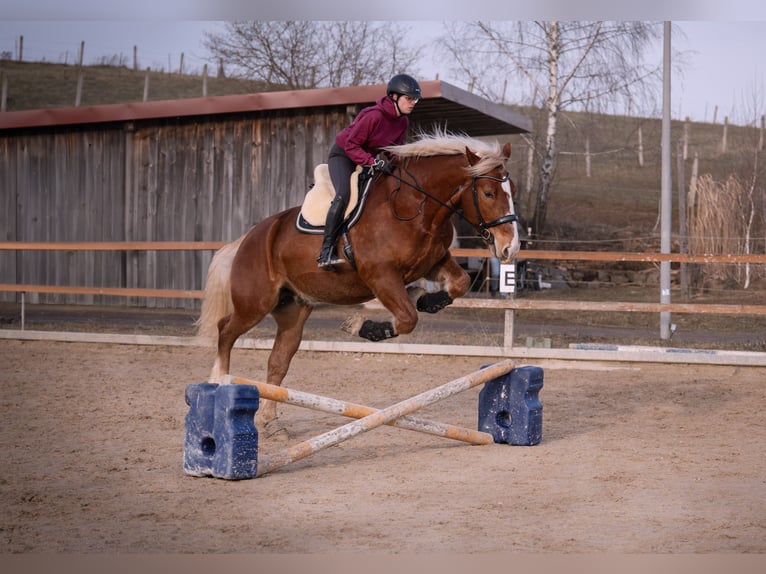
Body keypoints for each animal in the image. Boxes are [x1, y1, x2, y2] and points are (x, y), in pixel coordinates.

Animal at [196, 130, 521, 432]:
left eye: (513, 190)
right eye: (489, 193)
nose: (511, 247)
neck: (416, 206)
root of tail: (246, 239)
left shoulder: (432, 263)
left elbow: (459, 283)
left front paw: (429, 301)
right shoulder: (381, 275)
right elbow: (406, 319)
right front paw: (363, 327)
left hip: (292, 309)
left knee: (278, 361)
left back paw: (269, 422)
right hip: (255, 303)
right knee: (225, 331)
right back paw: (217, 383)